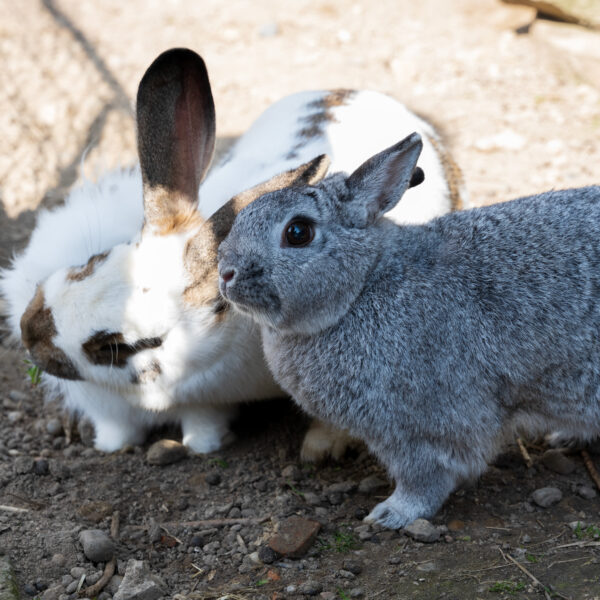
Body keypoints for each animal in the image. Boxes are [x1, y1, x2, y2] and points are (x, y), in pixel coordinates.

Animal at [218, 132, 600, 528]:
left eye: (298, 232)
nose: (225, 273)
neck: (362, 286)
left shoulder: (421, 428)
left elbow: (426, 476)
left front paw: (392, 514)